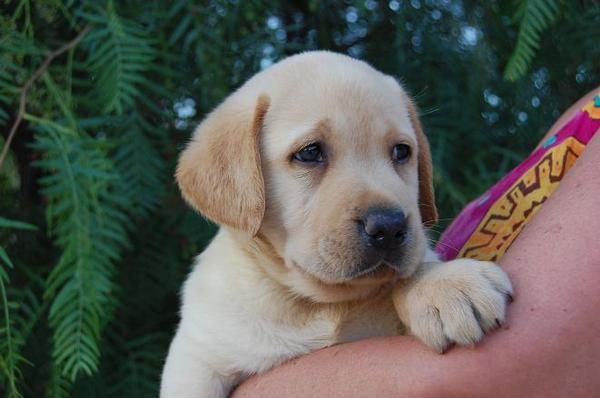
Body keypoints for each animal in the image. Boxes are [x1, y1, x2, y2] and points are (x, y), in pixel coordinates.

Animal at [162, 51, 512, 396]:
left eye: (401, 151)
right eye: (310, 153)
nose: (389, 227)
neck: (319, 303)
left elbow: (412, 267)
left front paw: (444, 283)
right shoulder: (196, 359)